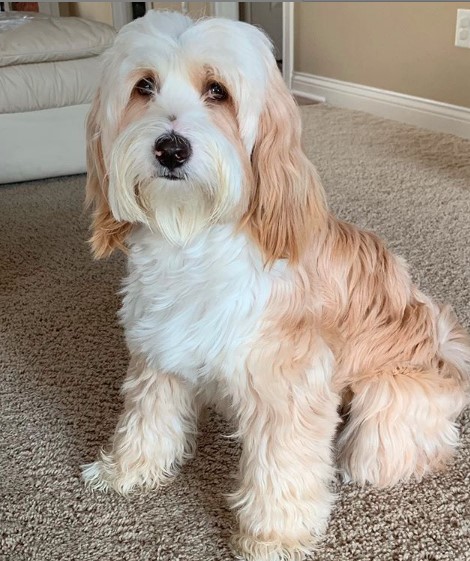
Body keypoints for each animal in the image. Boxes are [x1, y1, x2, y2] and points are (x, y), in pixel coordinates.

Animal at [81, 9, 470, 560]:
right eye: (144, 87)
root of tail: (446, 348)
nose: (170, 149)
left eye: (217, 91)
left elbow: (283, 466)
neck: (194, 234)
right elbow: (146, 416)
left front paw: (273, 537)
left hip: (384, 413)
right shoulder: (157, 349)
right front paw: (127, 468)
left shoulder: (289, 383)